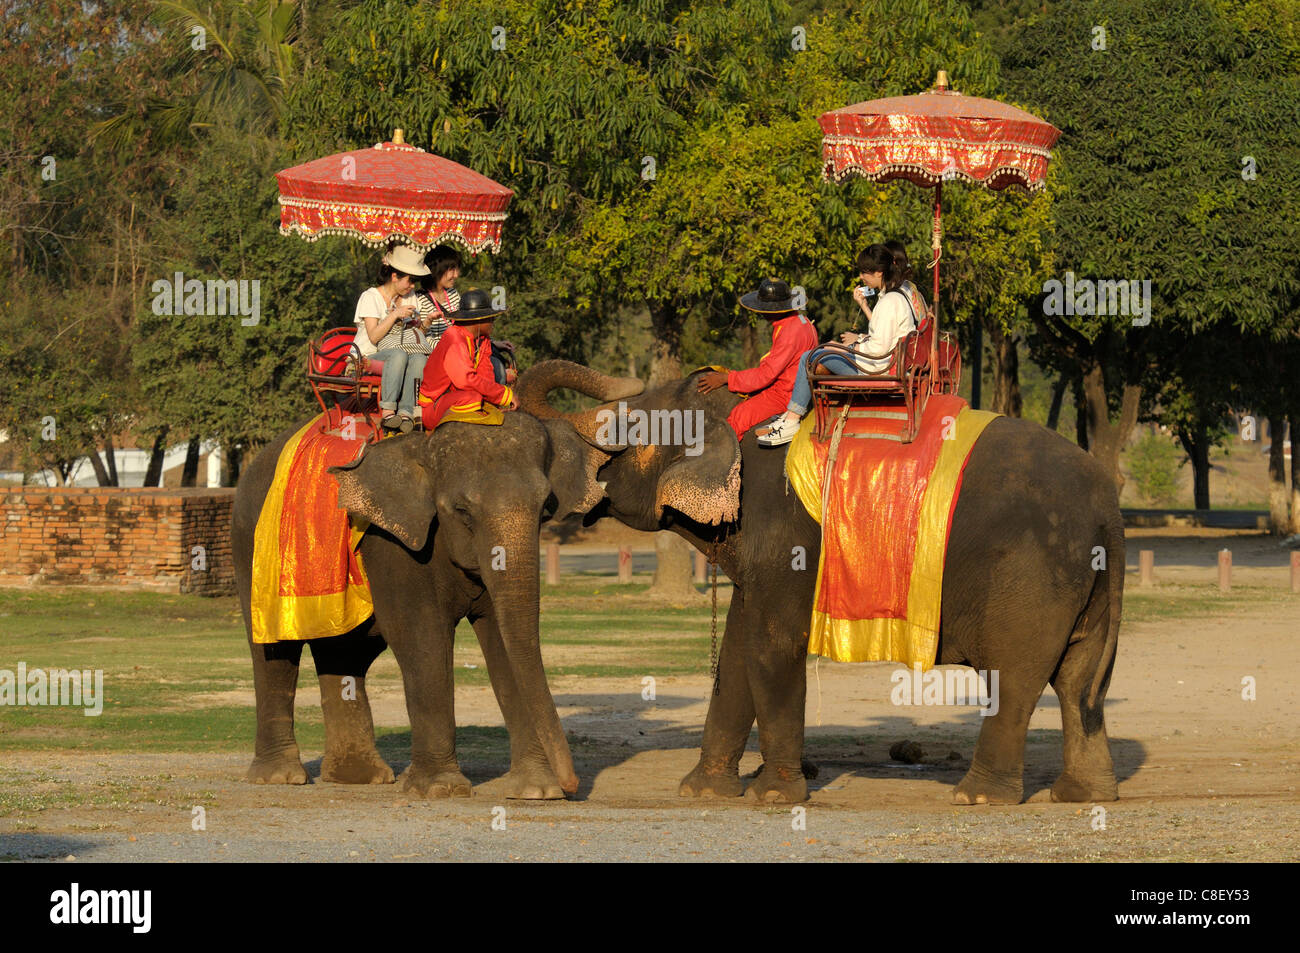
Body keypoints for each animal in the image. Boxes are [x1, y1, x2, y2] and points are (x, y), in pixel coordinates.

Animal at [236, 377, 642, 795]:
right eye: (462, 511)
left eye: (546, 507)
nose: (571, 784)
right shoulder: (393, 541)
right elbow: (421, 636)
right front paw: (440, 788)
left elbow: (503, 641)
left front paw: (535, 790)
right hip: (251, 549)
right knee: (274, 654)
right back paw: (280, 777)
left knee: (346, 652)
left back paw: (361, 778)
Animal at [512, 361, 1123, 806]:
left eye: (630, 431)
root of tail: (1108, 506)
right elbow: (738, 648)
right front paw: (702, 792)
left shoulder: (785, 530)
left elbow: (772, 644)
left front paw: (774, 797)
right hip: (1086, 579)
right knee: (1080, 681)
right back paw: (1084, 796)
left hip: (1031, 573)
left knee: (1015, 676)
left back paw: (977, 799)